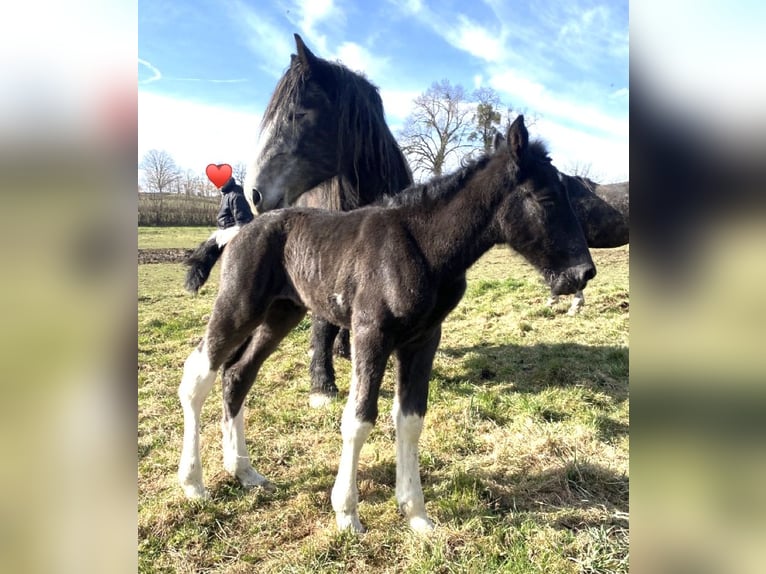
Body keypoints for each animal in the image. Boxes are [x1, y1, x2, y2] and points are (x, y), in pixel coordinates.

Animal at [178, 118, 600, 536]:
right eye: (546, 197)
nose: (583, 273)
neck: (423, 247)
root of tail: (235, 232)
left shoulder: (423, 340)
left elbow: (410, 419)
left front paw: (417, 515)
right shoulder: (371, 335)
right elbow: (358, 419)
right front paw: (347, 514)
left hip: (282, 313)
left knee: (237, 375)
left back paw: (245, 472)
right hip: (240, 306)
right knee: (198, 375)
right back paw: (194, 484)